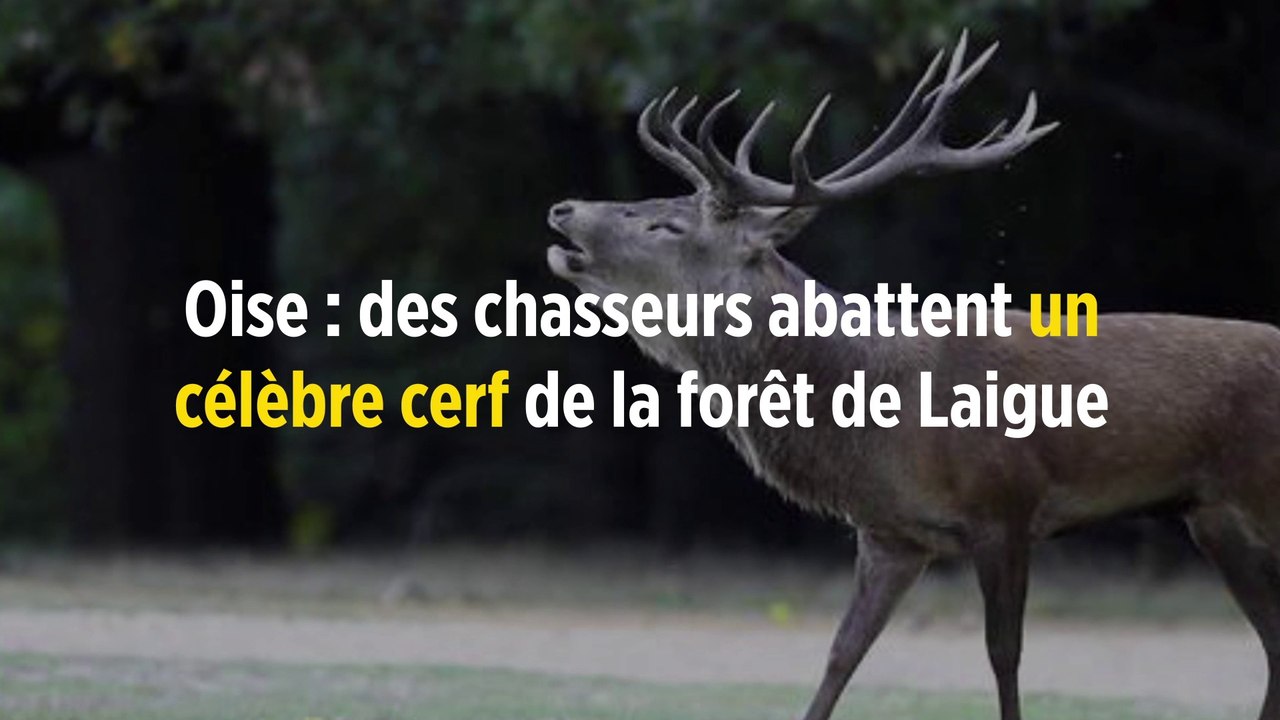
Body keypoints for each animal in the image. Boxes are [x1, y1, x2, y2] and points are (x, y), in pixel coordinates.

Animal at [545, 31, 1280, 720]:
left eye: (668, 225)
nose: (564, 210)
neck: (886, 425)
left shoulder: (1006, 504)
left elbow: (1004, 654)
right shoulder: (891, 534)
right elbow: (841, 653)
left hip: (1255, 496)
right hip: (1214, 519)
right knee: (1273, 642)